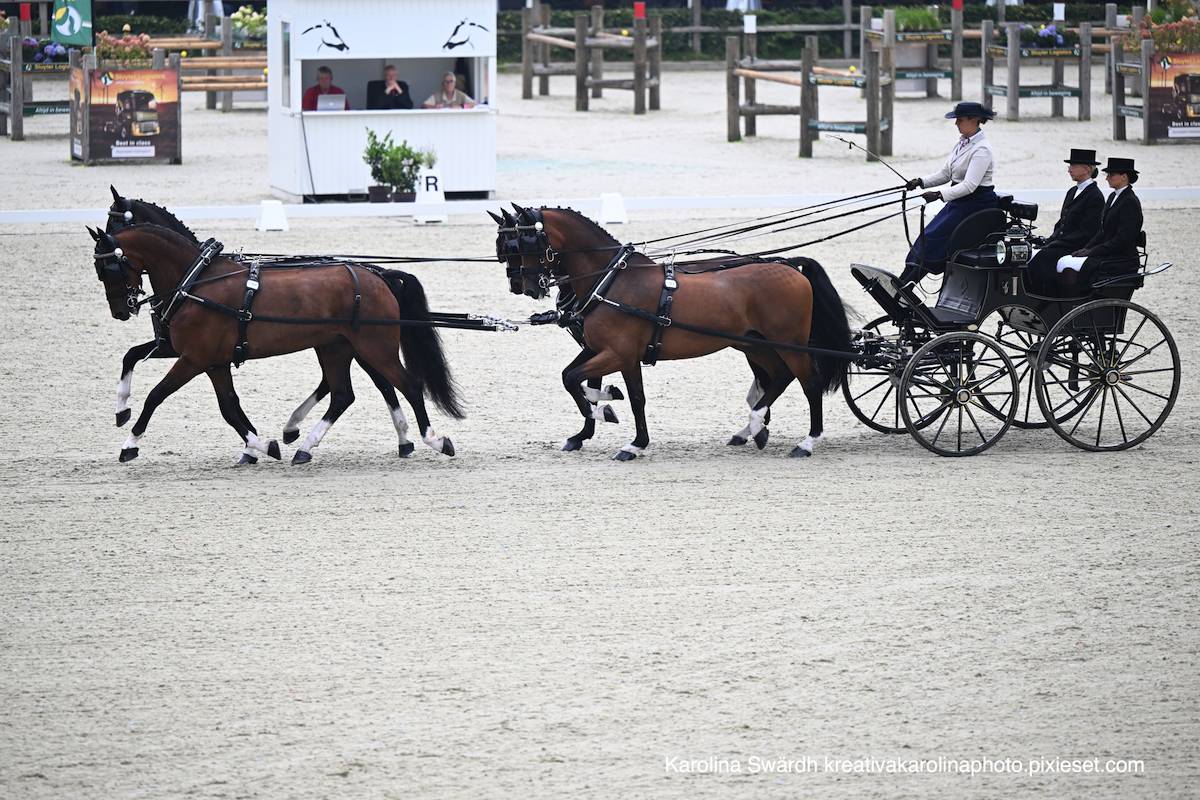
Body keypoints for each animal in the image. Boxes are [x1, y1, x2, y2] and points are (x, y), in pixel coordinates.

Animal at [89, 223, 462, 464]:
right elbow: (227, 406)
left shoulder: (193, 359)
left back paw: (434, 439)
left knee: (408, 385)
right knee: (344, 394)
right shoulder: (207, 359)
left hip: (374, 347)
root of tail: (379, 276)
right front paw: (261, 446)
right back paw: (305, 445)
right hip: (336, 347)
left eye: (110, 267)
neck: (197, 282)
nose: (121, 311)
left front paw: (129, 444)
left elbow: (157, 395)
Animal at [492, 206, 852, 460]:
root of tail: (789, 265)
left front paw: (629, 438)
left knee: (809, 383)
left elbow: (613, 391)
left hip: (789, 344)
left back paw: (806, 442)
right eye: (503, 247)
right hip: (755, 345)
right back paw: (752, 427)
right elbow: (577, 380)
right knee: (779, 377)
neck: (612, 281)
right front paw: (595, 420)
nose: (523, 286)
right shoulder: (601, 349)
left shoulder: (621, 354)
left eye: (524, 242)